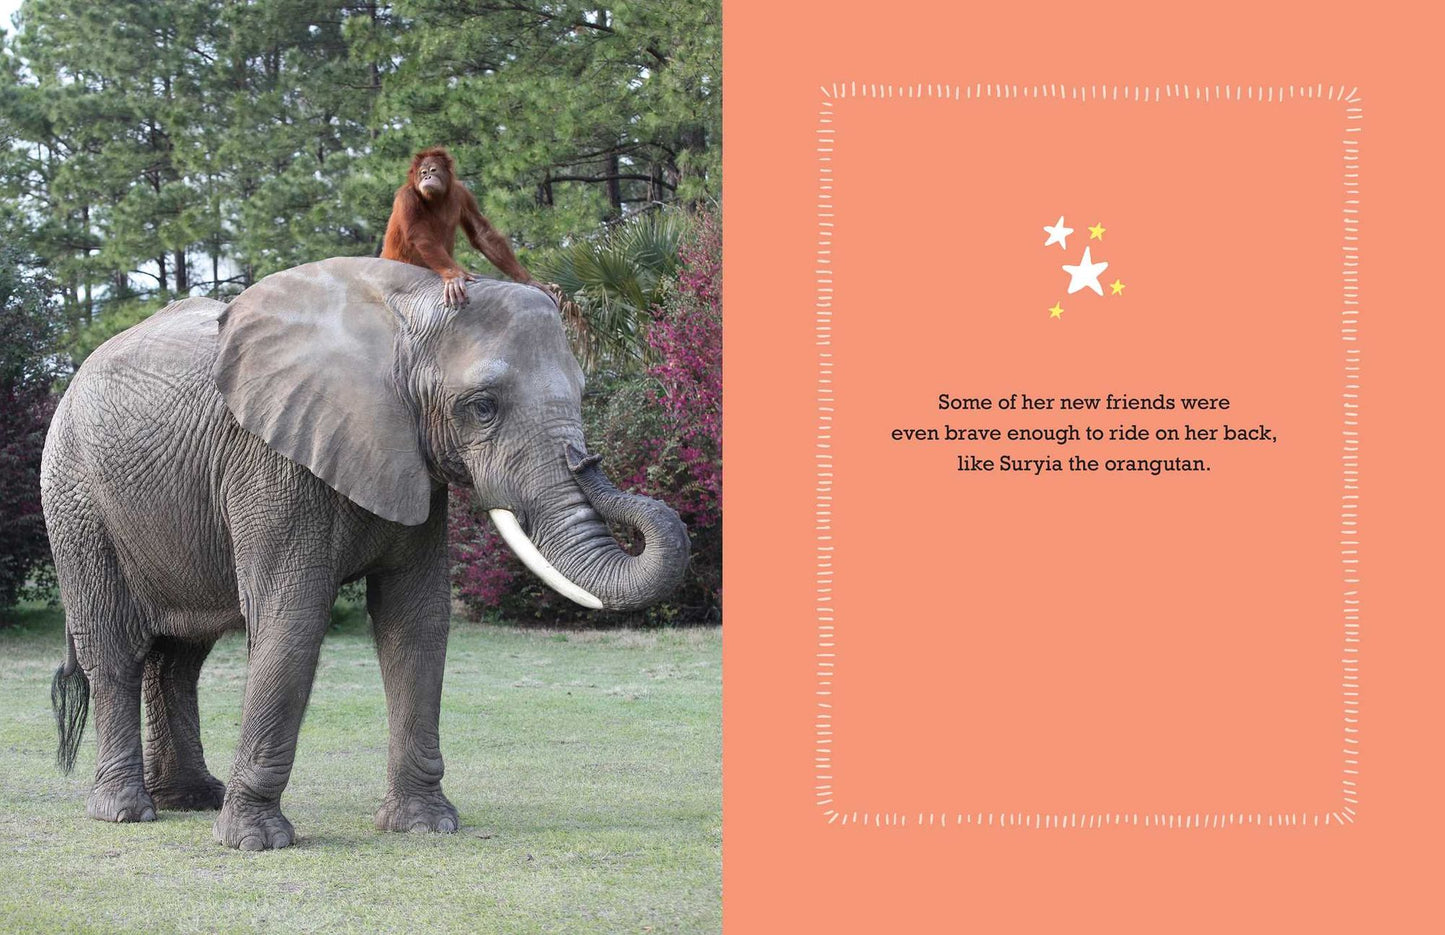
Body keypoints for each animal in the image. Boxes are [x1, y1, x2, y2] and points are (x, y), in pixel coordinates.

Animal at [40, 257, 688, 850]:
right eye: (482, 406)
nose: (587, 460)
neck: (408, 311)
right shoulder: (272, 462)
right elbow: (293, 616)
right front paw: (255, 843)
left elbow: (416, 619)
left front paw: (423, 826)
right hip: (75, 499)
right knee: (115, 650)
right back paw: (125, 812)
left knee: (179, 658)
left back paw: (193, 800)